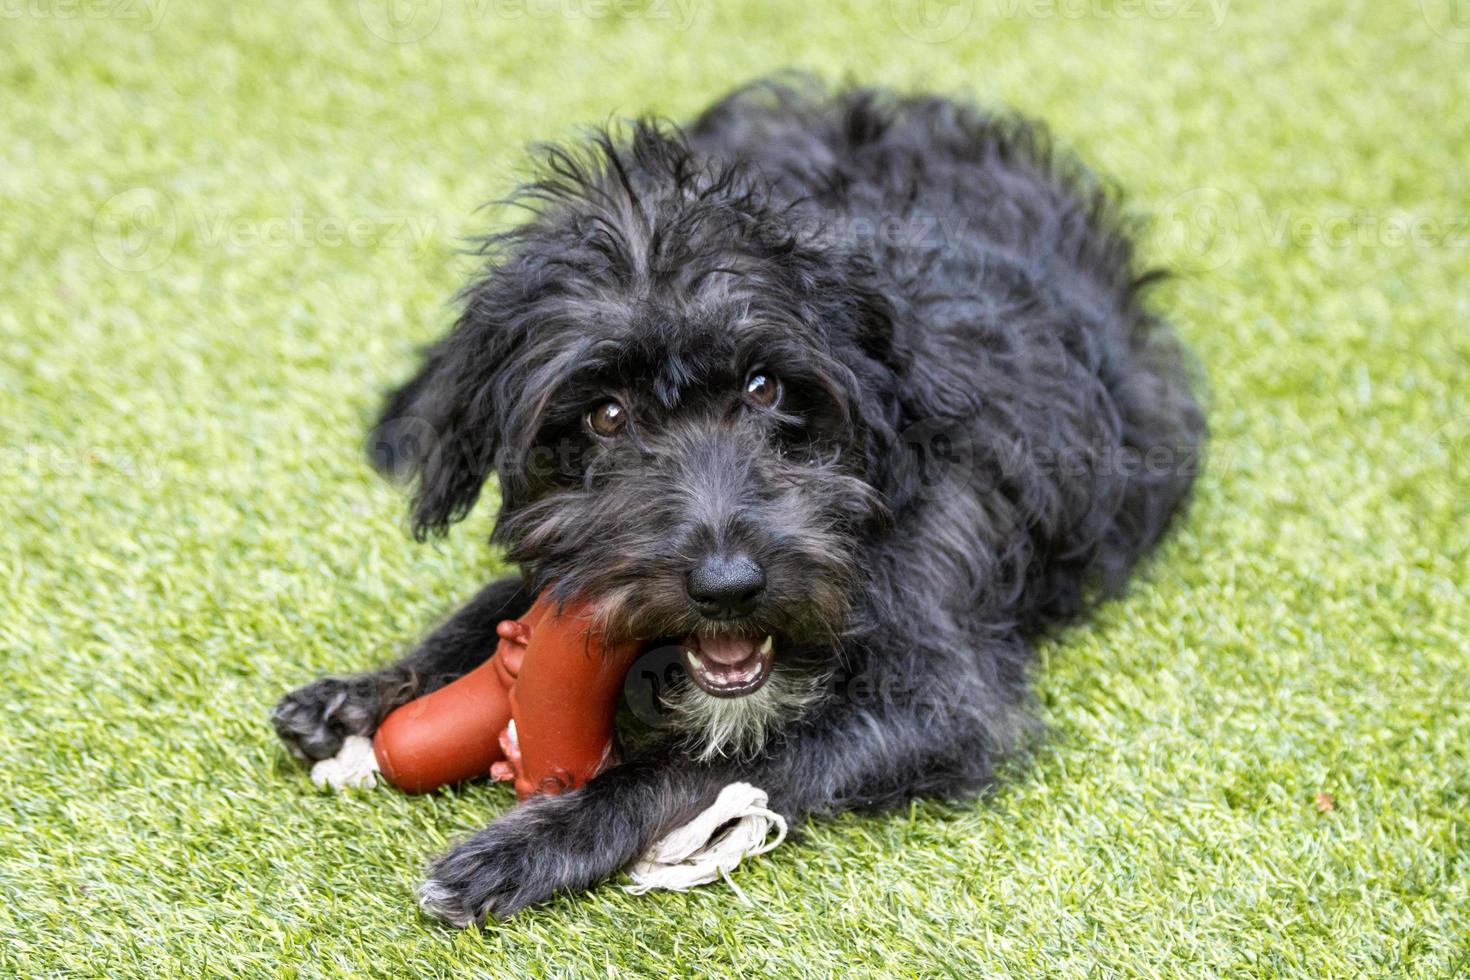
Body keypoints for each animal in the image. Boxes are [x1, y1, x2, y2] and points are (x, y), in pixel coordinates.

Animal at [270, 78, 1199, 928]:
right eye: (605, 415)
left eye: (765, 387)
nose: (727, 586)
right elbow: (493, 604)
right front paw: (365, 692)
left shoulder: (939, 700)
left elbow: (706, 764)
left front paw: (533, 843)